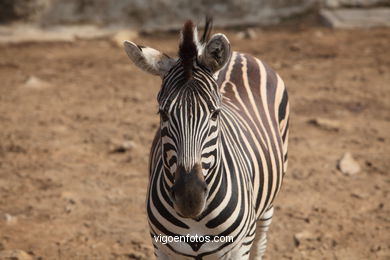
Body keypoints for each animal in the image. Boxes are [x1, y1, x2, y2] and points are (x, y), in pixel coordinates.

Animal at [123, 18, 288, 260]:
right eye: (162, 114)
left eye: (215, 114)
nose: (189, 199)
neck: (196, 222)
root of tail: (238, 54)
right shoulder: (160, 246)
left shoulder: (240, 247)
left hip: (267, 205)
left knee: (261, 242)